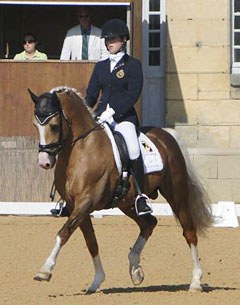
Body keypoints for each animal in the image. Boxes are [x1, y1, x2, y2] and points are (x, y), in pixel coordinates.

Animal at [29, 85, 212, 292]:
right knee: (149, 223)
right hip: (127, 203)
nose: (44, 162)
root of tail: (166, 134)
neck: (81, 149)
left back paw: (195, 281)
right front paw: (97, 281)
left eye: (53, 126)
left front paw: (44, 271)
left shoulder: (86, 202)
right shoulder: (76, 206)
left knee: (188, 231)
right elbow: (91, 242)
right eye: (35, 125)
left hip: (176, 195)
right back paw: (135, 268)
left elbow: (63, 233)